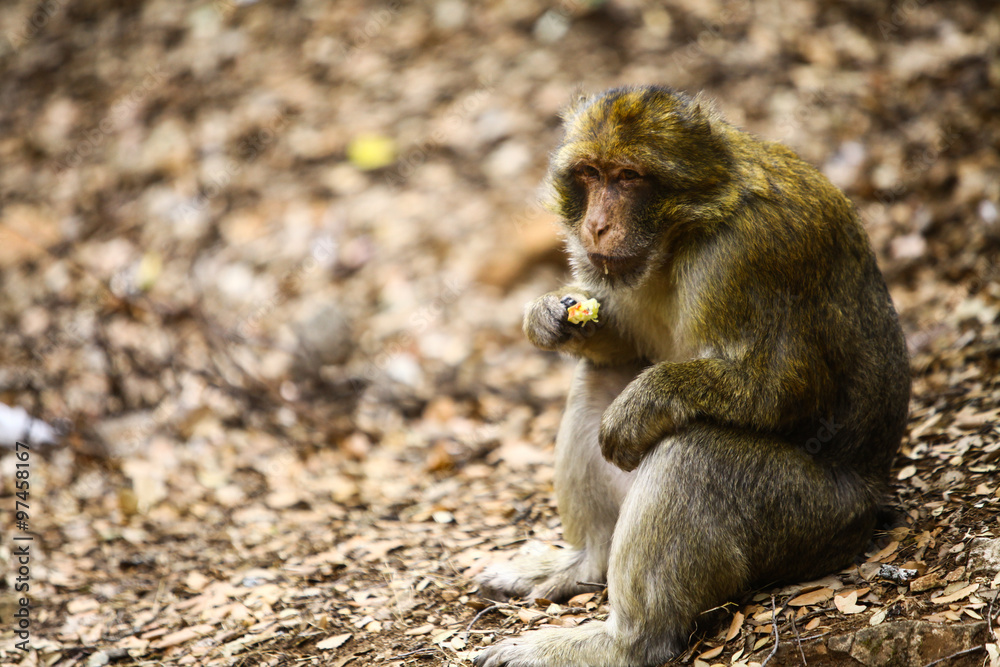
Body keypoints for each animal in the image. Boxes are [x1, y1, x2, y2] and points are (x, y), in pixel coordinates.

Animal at [473, 86, 910, 667]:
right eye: (590, 174)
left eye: (628, 177)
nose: (596, 226)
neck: (687, 229)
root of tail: (874, 492)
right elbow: (626, 343)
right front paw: (548, 315)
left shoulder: (748, 256)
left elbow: (784, 389)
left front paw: (646, 399)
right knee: (600, 377)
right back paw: (585, 562)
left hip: (814, 517)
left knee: (695, 455)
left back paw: (624, 642)